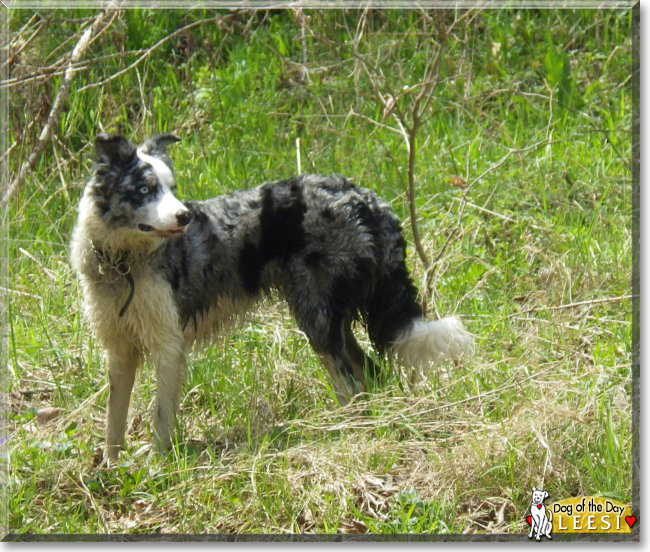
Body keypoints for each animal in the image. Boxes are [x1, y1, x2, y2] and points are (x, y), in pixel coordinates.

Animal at [71, 133, 474, 462]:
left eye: (171, 188)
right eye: (145, 190)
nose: (184, 217)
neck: (121, 261)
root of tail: (366, 199)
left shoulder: (167, 347)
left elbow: (160, 417)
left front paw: (158, 465)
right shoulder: (119, 350)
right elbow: (114, 420)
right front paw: (110, 468)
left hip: (316, 319)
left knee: (349, 383)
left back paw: (345, 430)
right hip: (330, 318)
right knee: (369, 374)